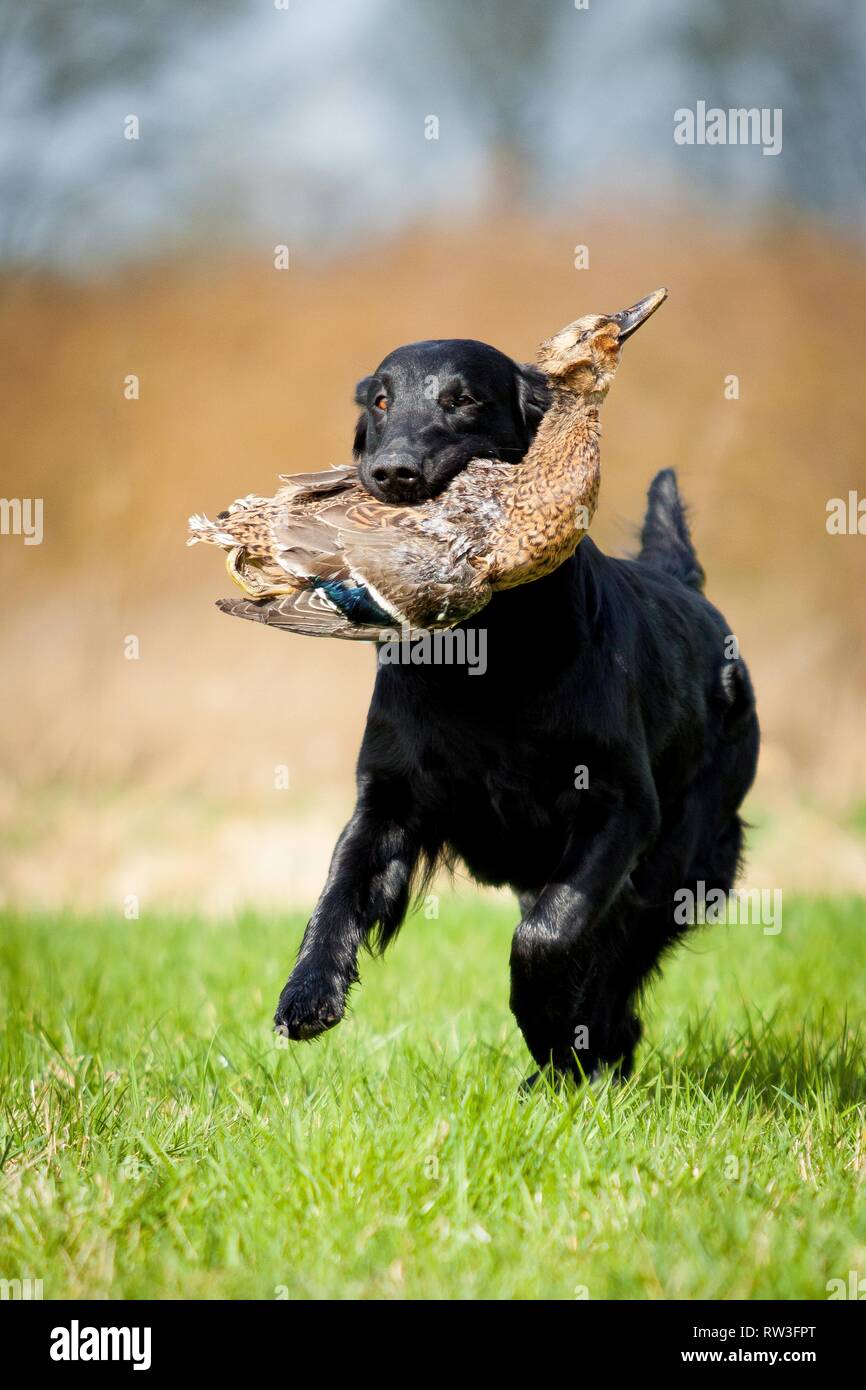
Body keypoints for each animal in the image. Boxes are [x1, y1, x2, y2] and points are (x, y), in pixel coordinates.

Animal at [276, 333, 756, 1073]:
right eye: (381, 401)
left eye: (465, 399)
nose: (392, 474)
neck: (486, 664)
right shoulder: (389, 797)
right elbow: (338, 891)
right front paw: (308, 991)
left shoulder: (621, 808)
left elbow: (547, 935)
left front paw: (547, 1020)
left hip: (684, 856)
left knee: (618, 957)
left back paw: (589, 1048)